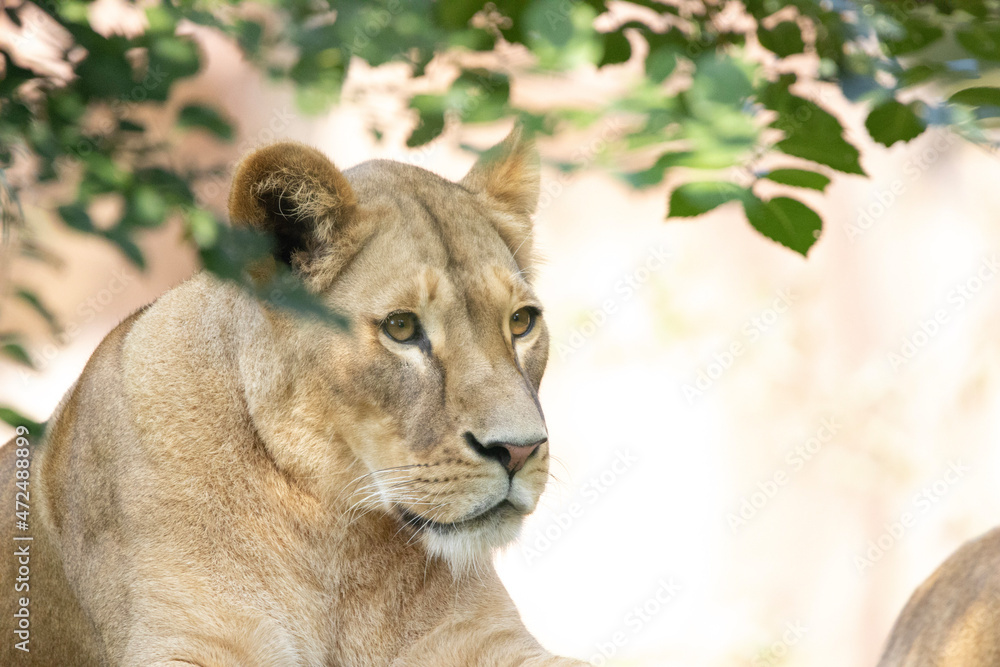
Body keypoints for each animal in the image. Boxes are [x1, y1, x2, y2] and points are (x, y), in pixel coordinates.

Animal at [1, 128, 588, 666]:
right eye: (401, 328)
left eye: (521, 321)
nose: (519, 450)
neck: (337, 538)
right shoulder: (189, 639)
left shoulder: (486, 639)